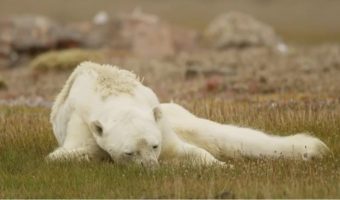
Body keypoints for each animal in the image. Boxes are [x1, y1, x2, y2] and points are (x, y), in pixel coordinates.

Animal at [47, 61, 330, 166]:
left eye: (154, 146)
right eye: (129, 152)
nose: (152, 167)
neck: (114, 93)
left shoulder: (160, 124)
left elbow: (189, 150)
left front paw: (221, 165)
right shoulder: (82, 124)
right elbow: (68, 154)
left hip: (177, 114)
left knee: (218, 135)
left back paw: (313, 148)